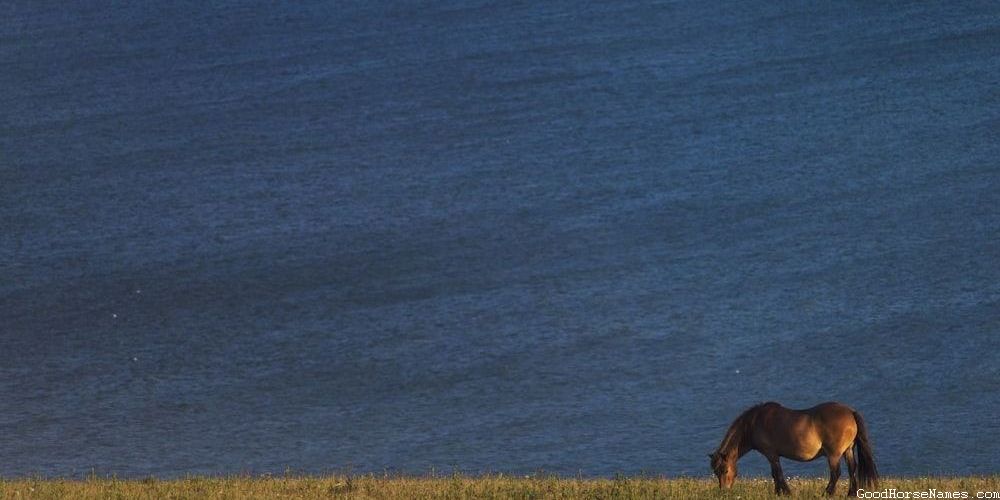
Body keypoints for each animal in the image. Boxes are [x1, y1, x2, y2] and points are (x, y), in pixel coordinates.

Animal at [709, 401, 878, 497]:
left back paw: (826, 493)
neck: (755, 423)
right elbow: (775, 474)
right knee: (852, 469)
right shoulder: (773, 456)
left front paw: (785, 492)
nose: (724, 491)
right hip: (848, 450)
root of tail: (850, 412)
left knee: (836, 473)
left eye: (725, 470)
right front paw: (778, 492)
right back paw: (851, 493)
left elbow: (777, 474)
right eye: (716, 472)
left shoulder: (771, 454)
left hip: (834, 454)